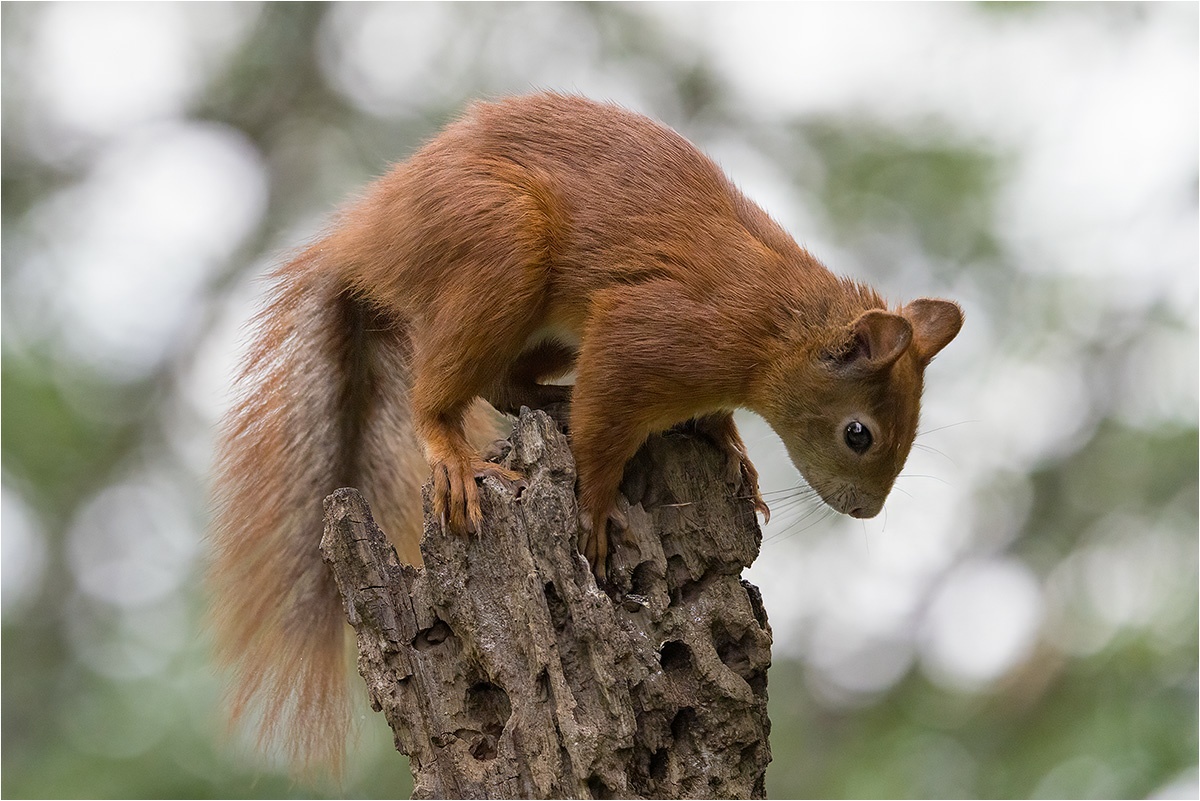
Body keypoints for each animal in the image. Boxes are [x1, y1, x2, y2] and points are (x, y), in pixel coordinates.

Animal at [209, 92, 963, 773]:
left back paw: (551, 401)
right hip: (500, 246)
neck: (778, 330)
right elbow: (604, 431)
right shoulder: (650, 333)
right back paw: (457, 451)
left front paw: (733, 451)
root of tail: (370, 237)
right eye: (859, 434)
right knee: (445, 393)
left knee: (505, 384)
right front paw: (597, 511)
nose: (867, 510)